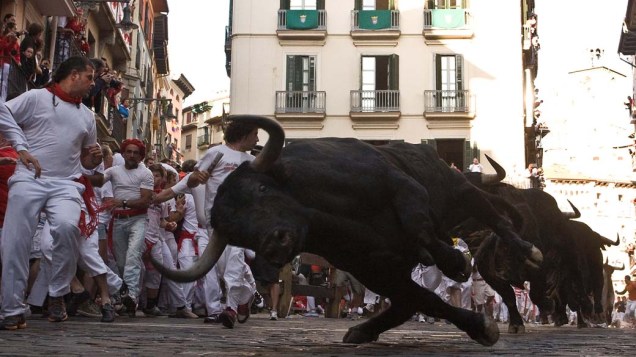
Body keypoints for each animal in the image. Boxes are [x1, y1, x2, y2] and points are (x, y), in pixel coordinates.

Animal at [153, 115, 540, 346]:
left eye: (262, 189)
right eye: (236, 234)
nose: (276, 243)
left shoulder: (399, 184)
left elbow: (417, 224)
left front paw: (456, 263)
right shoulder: (373, 270)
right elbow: (424, 299)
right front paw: (481, 326)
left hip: (463, 193)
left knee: (498, 219)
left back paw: (527, 252)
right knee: (408, 301)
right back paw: (361, 329)